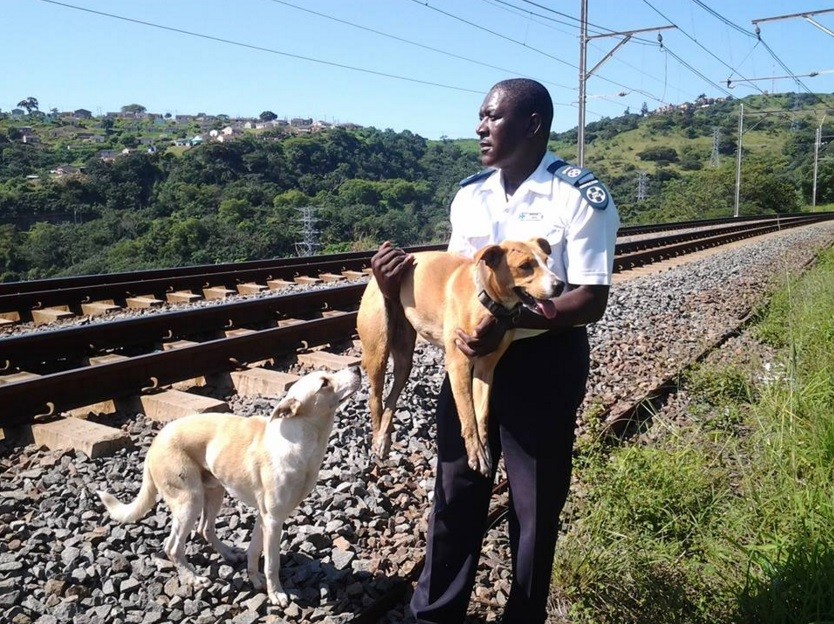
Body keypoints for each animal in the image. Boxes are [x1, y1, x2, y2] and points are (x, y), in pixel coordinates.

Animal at [96, 366, 358, 604]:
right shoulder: (274, 519)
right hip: (189, 501)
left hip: (215, 491)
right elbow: (272, 563)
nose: (356, 368)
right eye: (324, 383)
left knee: (205, 529)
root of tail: (153, 444)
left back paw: (229, 554)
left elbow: (255, 551)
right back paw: (194, 579)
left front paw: (255, 580)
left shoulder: (264, 517)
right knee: (173, 547)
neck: (301, 439)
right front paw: (276, 594)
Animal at [354, 236, 564, 476]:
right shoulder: (459, 364)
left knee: (392, 395)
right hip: (377, 349)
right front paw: (475, 453)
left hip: (404, 357)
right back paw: (378, 439)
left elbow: (481, 413)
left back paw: (385, 437)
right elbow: (468, 413)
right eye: (525, 266)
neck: (486, 299)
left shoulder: (486, 367)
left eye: (547, 261)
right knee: (375, 398)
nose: (560, 285)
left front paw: (485, 450)